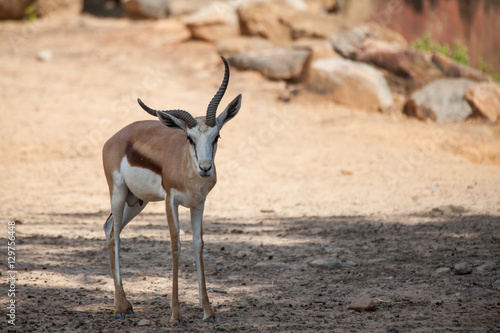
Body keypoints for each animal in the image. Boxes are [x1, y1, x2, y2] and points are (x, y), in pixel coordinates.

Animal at [102, 57, 242, 324]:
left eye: (217, 136)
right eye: (189, 138)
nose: (205, 168)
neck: (188, 173)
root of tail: (116, 137)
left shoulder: (199, 204)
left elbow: (198, 244)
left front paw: (208, 311)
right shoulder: (171, 200)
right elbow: (176, 244)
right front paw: (175, 314)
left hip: (136, 202)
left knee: (109, 228)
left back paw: (126, 303)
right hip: (118, 193)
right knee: (114, 235)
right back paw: (120, 308)